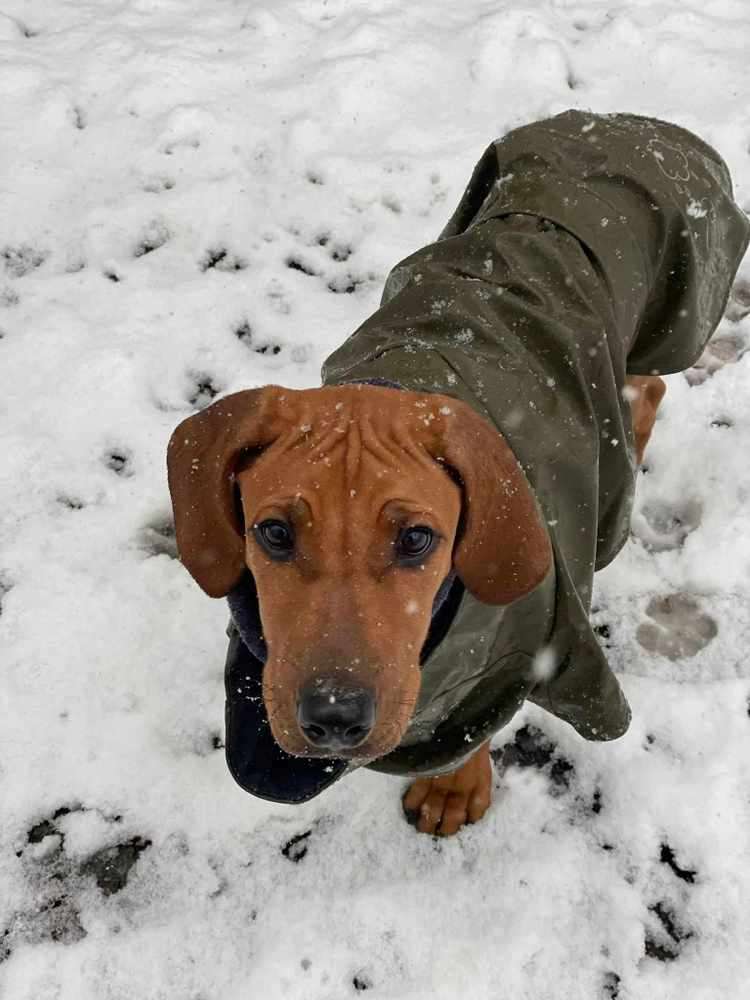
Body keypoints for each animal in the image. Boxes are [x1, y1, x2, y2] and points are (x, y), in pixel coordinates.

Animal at [167, 110, 749, 836]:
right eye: (273, 534)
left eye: (417, 540)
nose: (332, 718)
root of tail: (631, 122)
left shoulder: (523, 638)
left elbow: (472, 721)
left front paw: (453, 785)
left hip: (670, 320)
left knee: (647, 390)